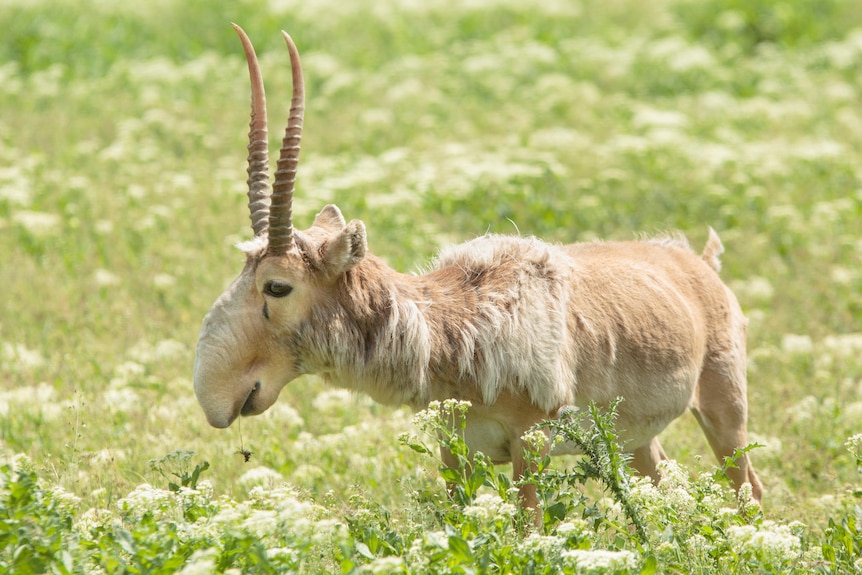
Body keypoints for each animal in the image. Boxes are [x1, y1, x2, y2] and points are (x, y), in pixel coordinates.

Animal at [196, 25, 764, 508]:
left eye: (277, 286)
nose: (215, 397)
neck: (457, 320)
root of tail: (697, 264)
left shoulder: (531, 443)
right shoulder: (456, 448)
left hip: (724, 410)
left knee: (748, 488)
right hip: (636, 440)